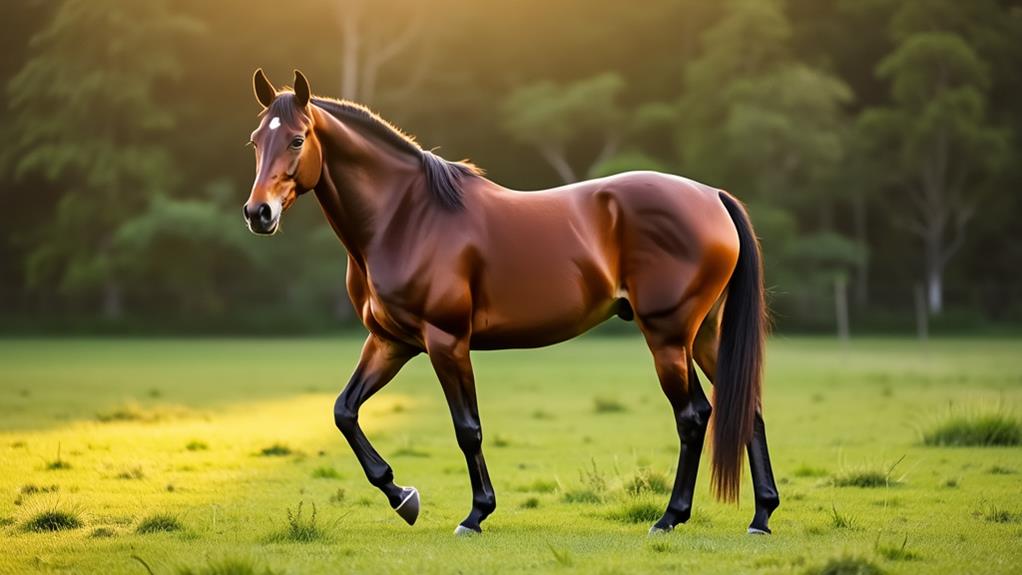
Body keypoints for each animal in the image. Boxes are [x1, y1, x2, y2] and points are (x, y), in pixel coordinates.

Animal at [243, 69, 779, 536]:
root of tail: (712, 196)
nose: (258, 213)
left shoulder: (446, 342)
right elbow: (344, 412)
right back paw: (761, 516)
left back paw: (670, 517)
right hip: (705, 334)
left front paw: (475, 514)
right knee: (745, 408)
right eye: (255, 141)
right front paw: (403, 497)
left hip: (668, 337)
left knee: (694, 416)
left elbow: (468, 429)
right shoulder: (390, 342)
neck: (406, 218)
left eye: (297, 139)